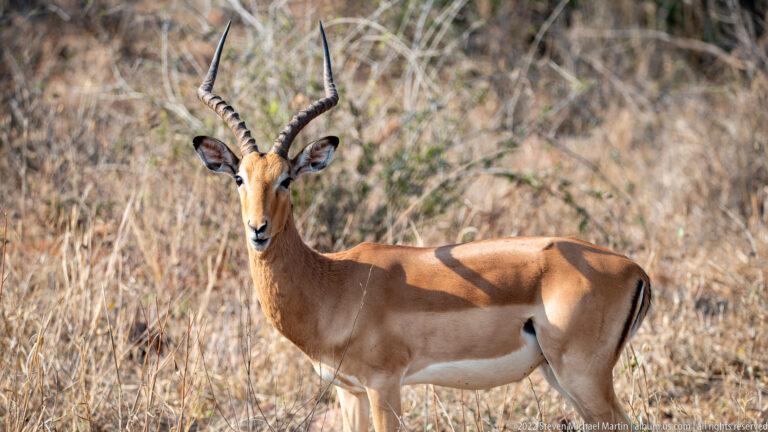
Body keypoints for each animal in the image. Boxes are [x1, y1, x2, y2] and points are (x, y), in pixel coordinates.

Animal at [193, 21, 651, 432]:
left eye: (286, 179)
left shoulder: (384, 384)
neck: (332, 283)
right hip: (558, 376)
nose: (258, 229)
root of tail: (635, 270)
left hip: (582, 376)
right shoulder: (348, 390)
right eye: (240, 178)